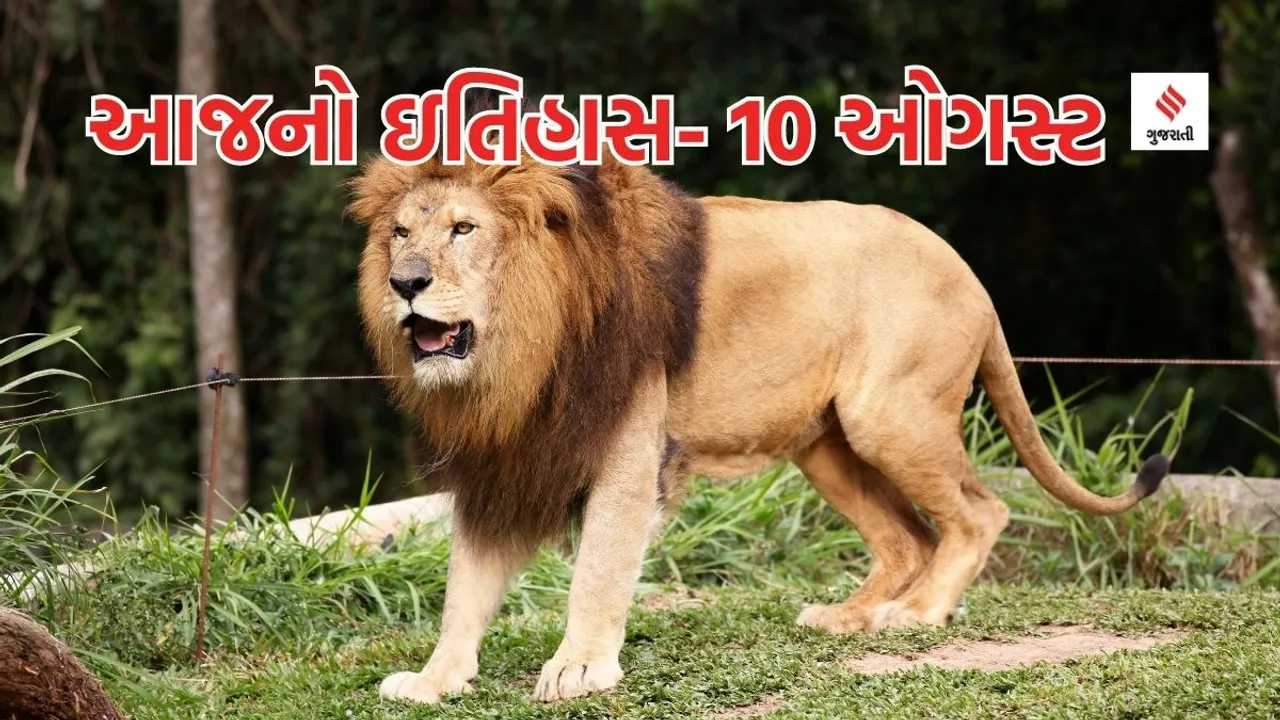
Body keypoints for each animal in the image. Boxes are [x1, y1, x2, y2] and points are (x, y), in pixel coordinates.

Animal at [345, 146, 1169, 705]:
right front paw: (434, 680)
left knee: (980, 512)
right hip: (827, 444)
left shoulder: (627, 451)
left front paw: (578, 666)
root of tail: (969, 272)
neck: (520, 348)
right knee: (910, 537)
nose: (405, 283)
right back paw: (846, 618)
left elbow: (599, 570)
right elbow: (466, 585)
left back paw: (915, 614)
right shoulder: (506, 462)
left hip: (888, 415)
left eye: (463, 229)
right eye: (399, 233)